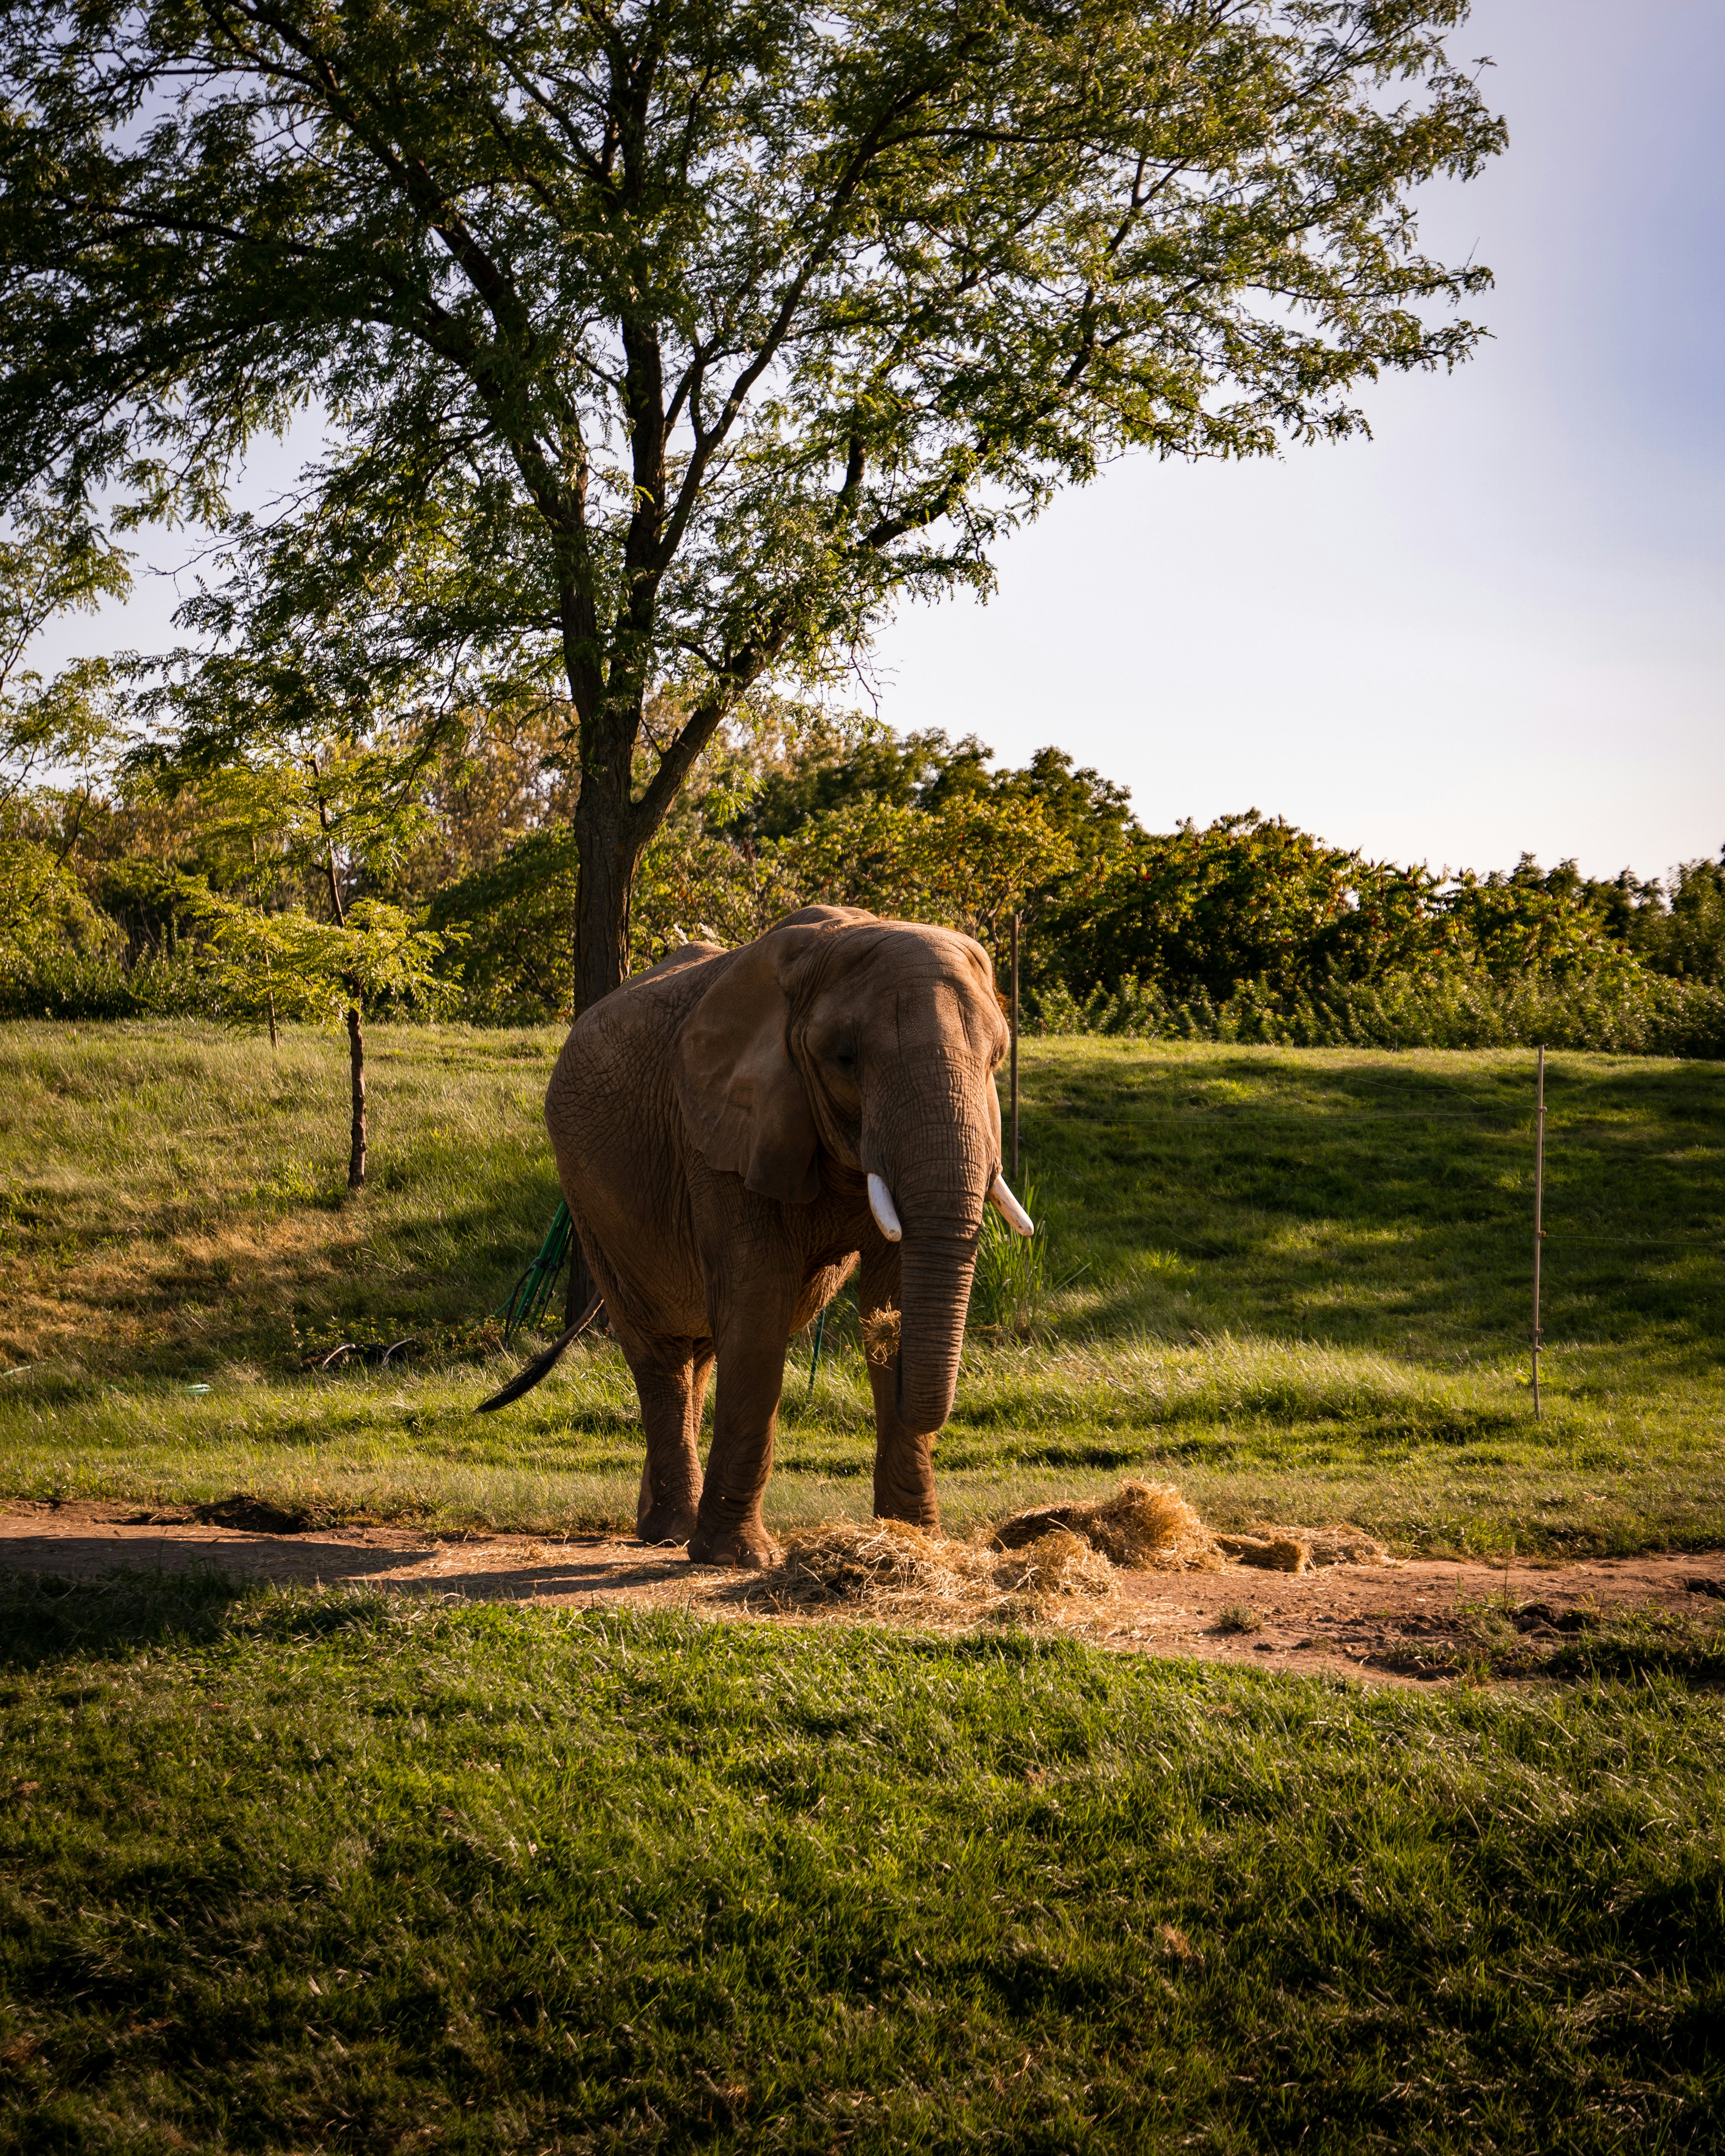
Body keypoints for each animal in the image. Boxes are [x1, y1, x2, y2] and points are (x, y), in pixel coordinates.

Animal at [479, 905, 1035, 1568]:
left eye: (997, 1058)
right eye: (844, 1059)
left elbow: (893, 1295)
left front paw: (914, 1541)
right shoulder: (721, 1131)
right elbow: (757, 1314)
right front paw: (740, 1558)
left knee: (697, 1350)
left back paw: (666, 1528)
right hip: (589, 1196)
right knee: (658, 1350)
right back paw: (672, 1530)